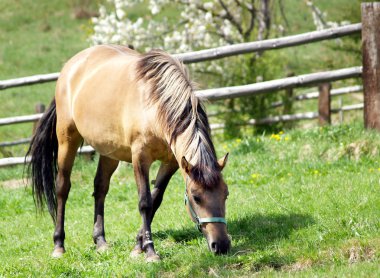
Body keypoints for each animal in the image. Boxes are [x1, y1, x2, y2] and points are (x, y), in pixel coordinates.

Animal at [26, 44, 232, 262]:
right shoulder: (140, 158)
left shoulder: (171, 162)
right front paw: (149, 251)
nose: (221, 245)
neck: (154, 103)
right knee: (62, 188)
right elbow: (145, 202)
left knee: (100, 188)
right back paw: (59, 245)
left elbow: (155, 199)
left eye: (225, 194)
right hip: (67, 140)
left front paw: (138, 246)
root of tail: (71, 66)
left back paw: (100, 241)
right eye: (196, 197)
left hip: (109, 151)